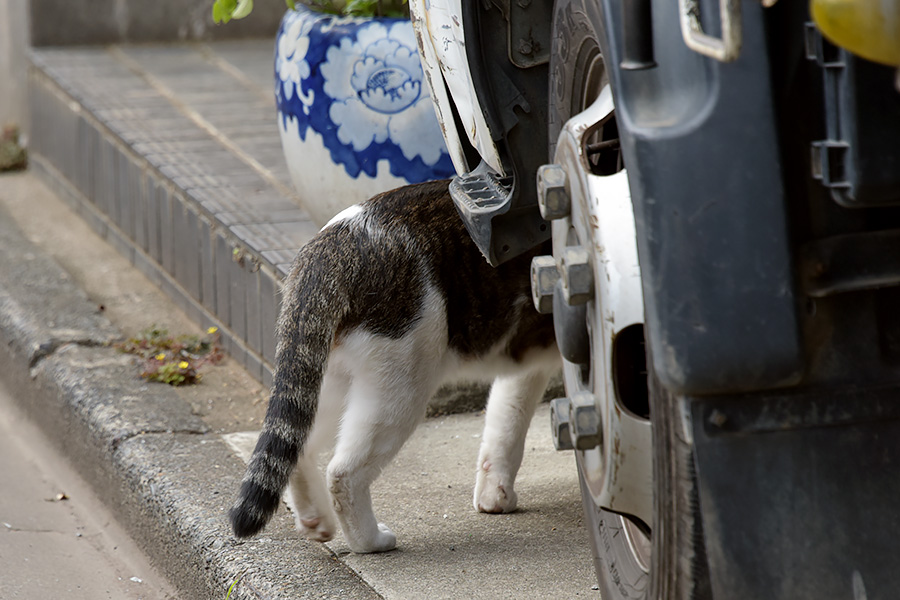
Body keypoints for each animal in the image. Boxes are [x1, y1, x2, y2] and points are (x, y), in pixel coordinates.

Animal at [229, 179, 560, 552]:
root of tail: (332, 244)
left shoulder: (526, 368)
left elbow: (506, 424)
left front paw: (495, 495)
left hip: (323, 381)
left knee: (298, 449)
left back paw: (317, 522)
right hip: (399, 388)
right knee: (343, 473)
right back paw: (370, 541)